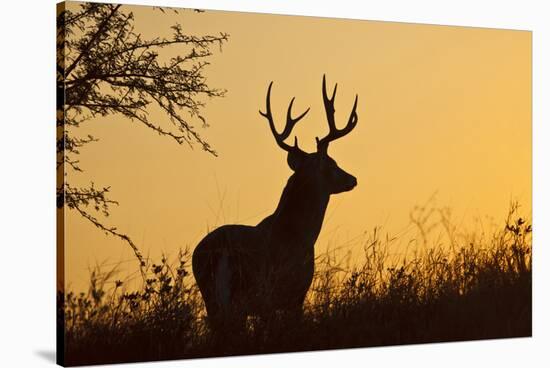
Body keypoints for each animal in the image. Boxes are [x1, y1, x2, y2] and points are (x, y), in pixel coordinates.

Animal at [192, 75, 360, 334]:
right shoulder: (292, 293)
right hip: (248, 292)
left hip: (213, 297)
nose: (352, 179)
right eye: (332, 163)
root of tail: (220, 251)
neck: (300, 234)